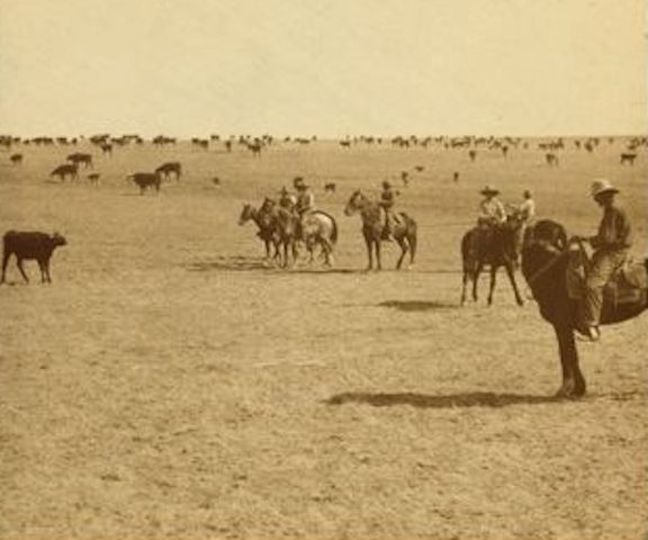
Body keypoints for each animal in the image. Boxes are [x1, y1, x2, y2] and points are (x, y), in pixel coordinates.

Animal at [520, 217, 648, 398]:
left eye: (554, 235)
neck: (554, 273)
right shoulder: (563, 327)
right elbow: (571, 354)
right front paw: (578, 389)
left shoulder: (562, 325)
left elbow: (567, 354)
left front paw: (566, 389)